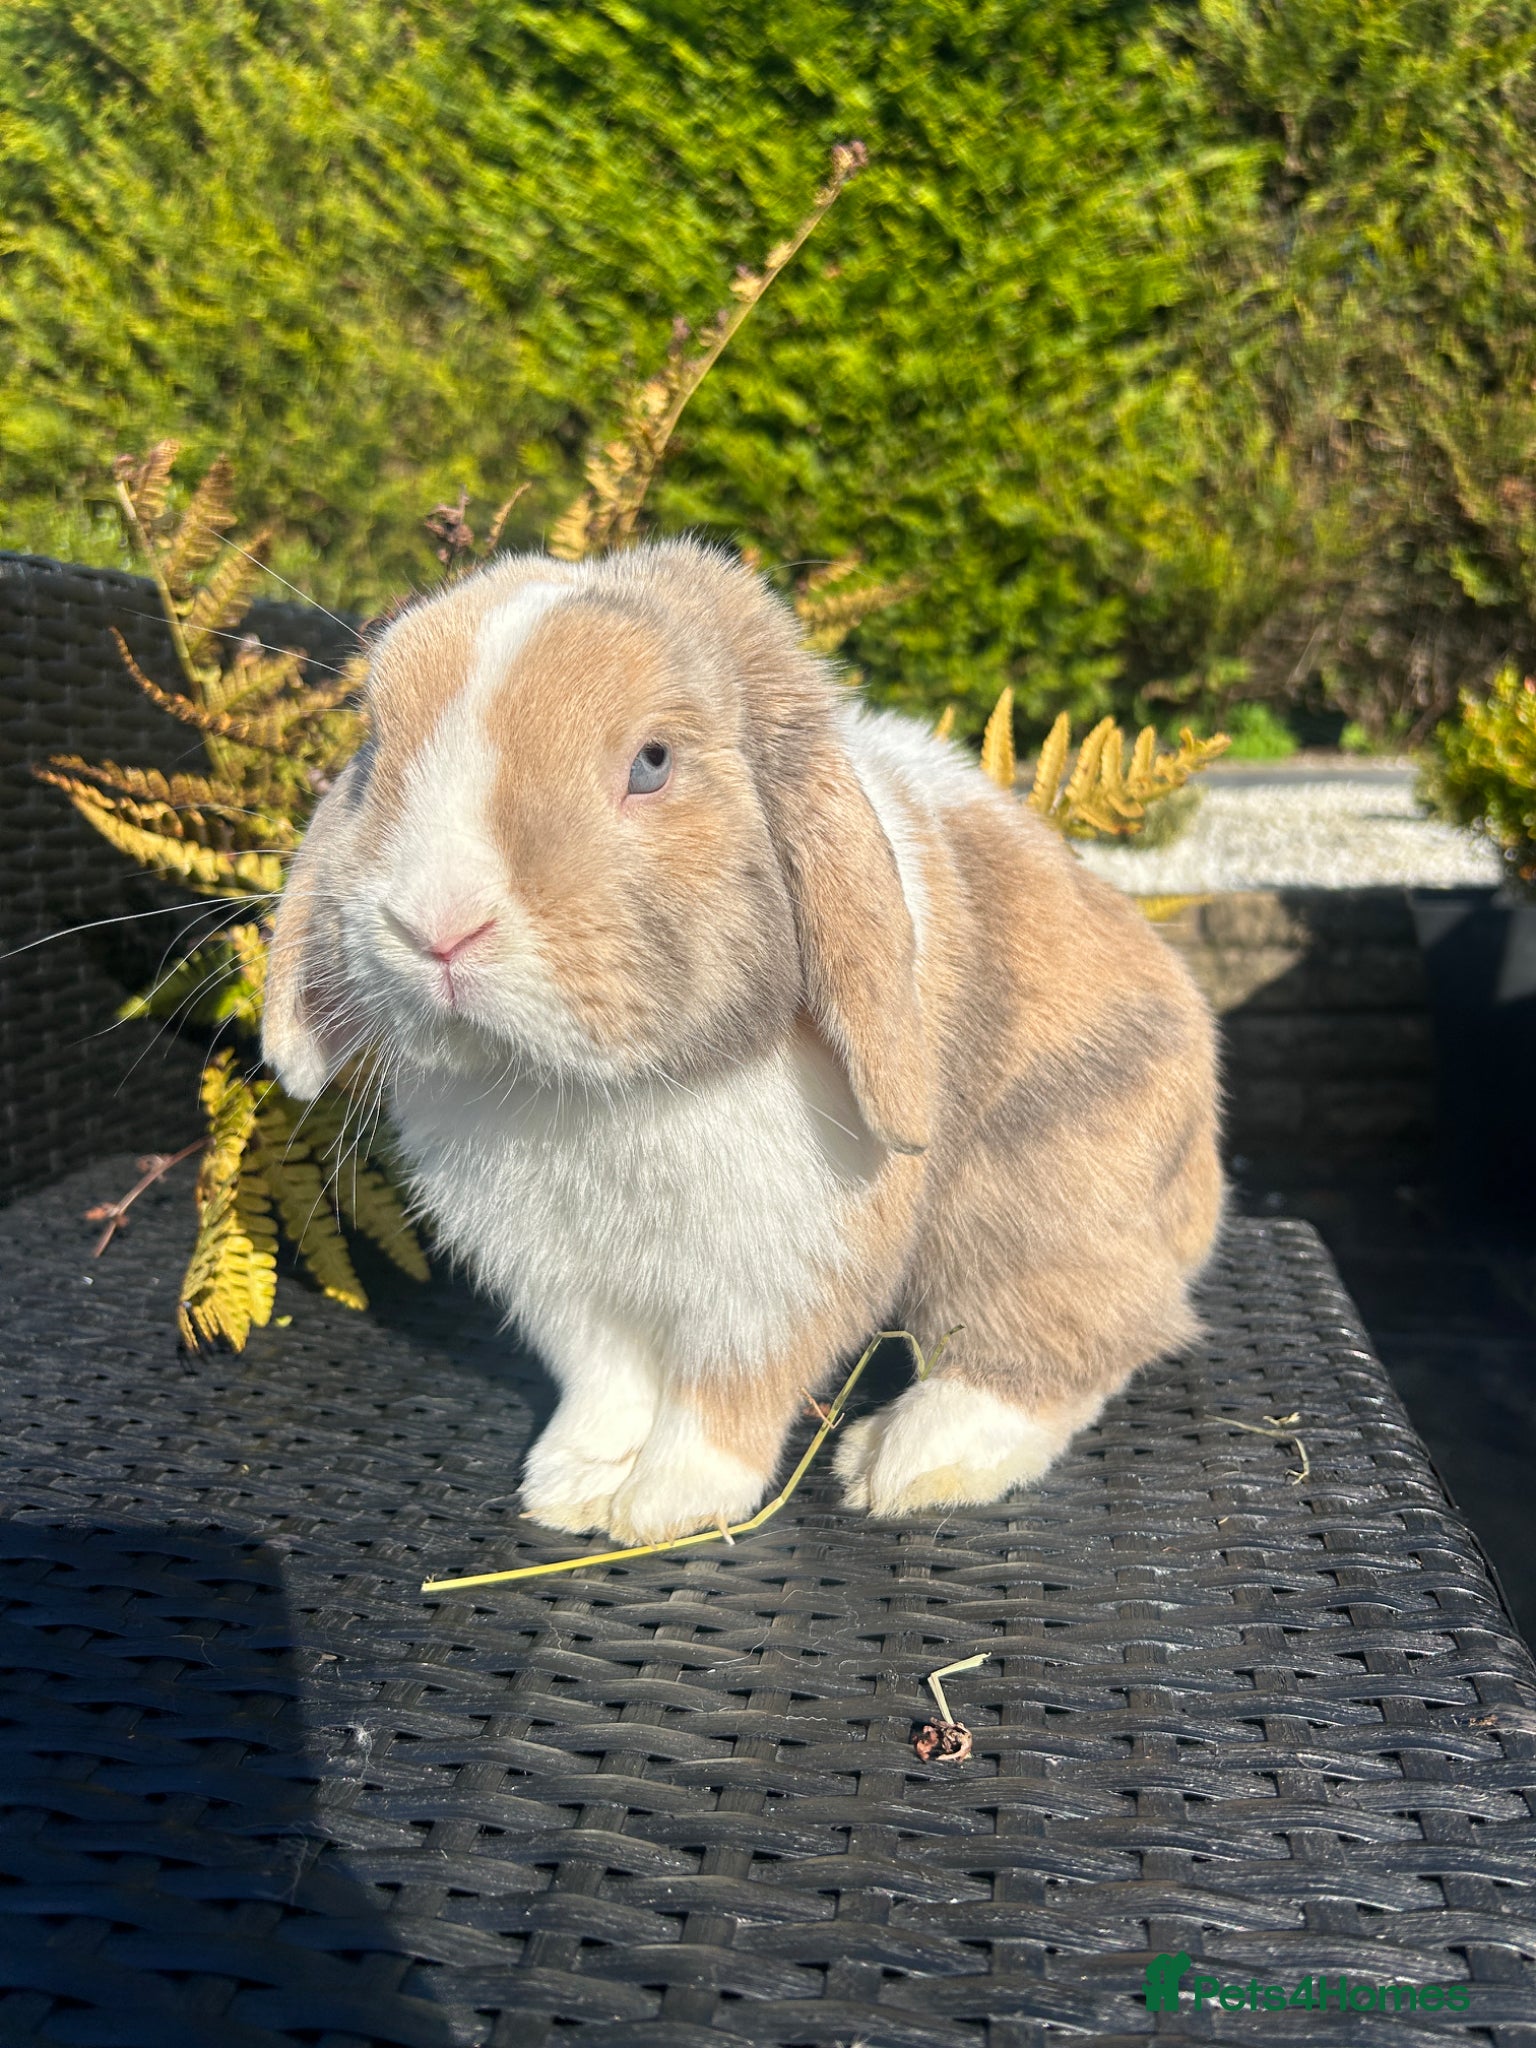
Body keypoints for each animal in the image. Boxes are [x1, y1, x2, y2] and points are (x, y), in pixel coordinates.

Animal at [262, 539, 1224, 1544]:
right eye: (375, 751)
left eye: (652, 762)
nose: (435, 925)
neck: (595, 1093)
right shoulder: (570, 1292)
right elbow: (604, 1388)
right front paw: (572, 1489)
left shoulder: (778, 1282)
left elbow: (725, 1397)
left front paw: (668, 1503)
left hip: (1042, 1197)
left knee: (1077, 1337)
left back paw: (910, 1460)